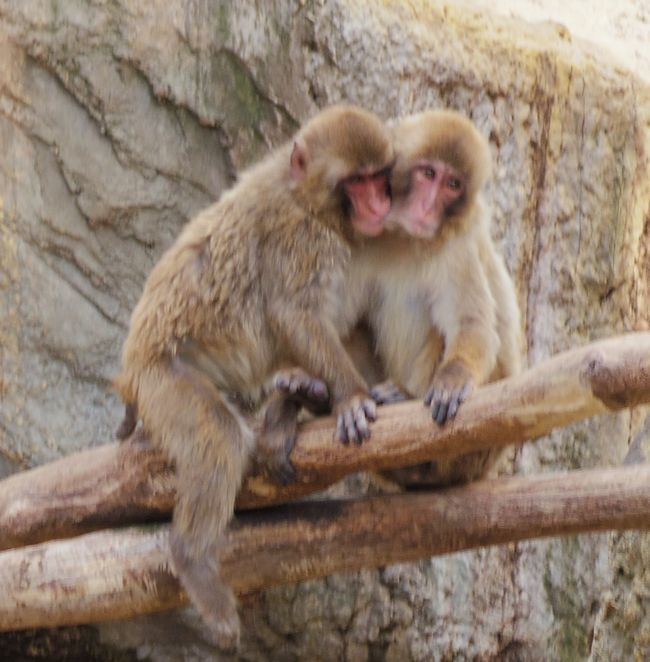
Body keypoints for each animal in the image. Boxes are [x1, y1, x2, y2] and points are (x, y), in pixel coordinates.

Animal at [112, 106, 392, 652]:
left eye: (377, 177)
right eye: (356, 182)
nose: (379, 203)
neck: (307, 197)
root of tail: (132, 369)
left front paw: (308, 395)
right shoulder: (299, 236)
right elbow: (294, 314)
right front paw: (350, 394)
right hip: (163, 380)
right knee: (219, 436)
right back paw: (192, 559)